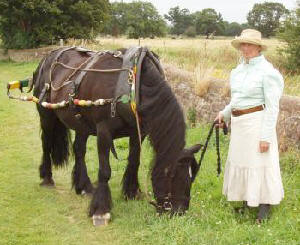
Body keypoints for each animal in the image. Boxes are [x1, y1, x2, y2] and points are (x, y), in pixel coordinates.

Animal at [30, 47, 202, 226]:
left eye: (192, 175)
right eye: (172, 175)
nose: (179, 211)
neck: (132, 86)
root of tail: (50, 56)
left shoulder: (138, 132)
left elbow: (134, 161)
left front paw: (131, 192)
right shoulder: (104, 131)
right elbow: (105, 171)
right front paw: (100, 211)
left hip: (80, 123)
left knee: (79, 149)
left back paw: (83, 186)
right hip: (46, 115)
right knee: (46, 144)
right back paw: (47, 178)